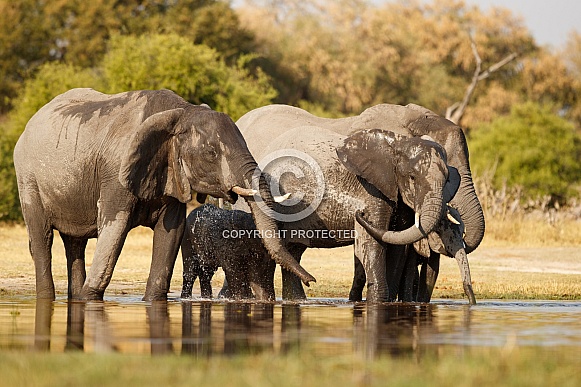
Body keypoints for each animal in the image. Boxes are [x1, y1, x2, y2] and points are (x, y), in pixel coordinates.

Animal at [12, 88, 312, 304]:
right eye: (211, 153)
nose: (312, 281)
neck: (182, 111)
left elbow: (171, 233)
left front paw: (153, 301)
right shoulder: (116, 173)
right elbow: (114, 231)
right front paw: (91, 298)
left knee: (75, 243)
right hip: (28, 179)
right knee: (42, 238)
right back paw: (49, 297)